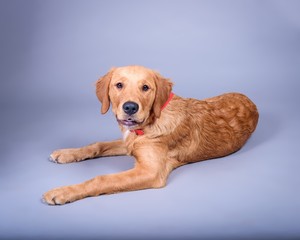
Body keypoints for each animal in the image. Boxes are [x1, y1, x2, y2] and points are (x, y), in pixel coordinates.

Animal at [43, 65, 258, 204]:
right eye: (119, 85)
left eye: (145, 87)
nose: (130, 107)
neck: (148, 124)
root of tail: (251, 100)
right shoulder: (128, 143)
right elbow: (98, 145)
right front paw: (67, 153)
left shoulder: (150, 171)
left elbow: (102, 179)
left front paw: (63, 191)